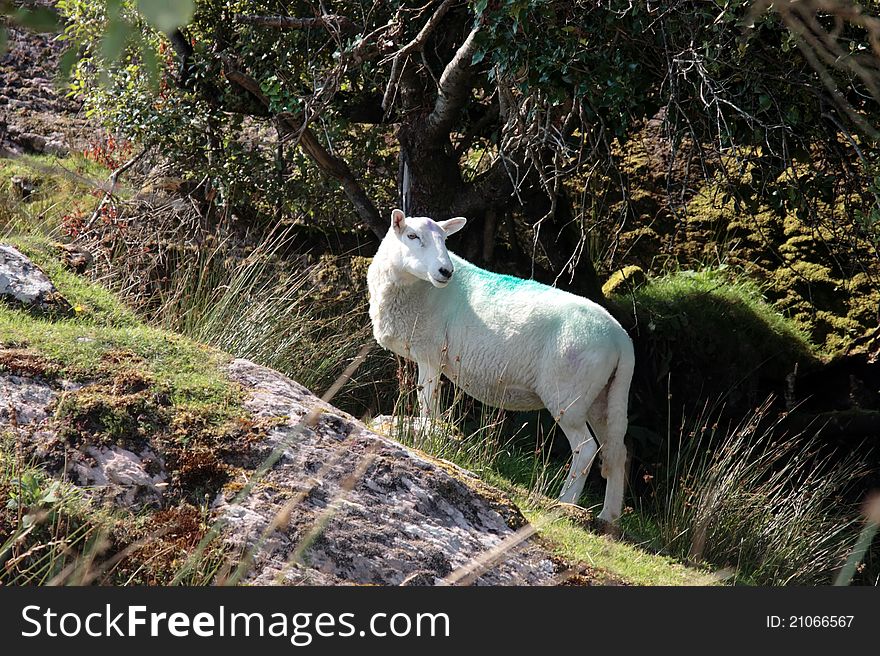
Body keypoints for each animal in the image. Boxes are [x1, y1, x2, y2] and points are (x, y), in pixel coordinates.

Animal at [368, 210, 636, 524]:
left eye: (445, 240)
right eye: (412, 236)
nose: (446, 271)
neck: (415, 289)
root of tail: (621, 340)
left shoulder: (430, 353)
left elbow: (428, 404)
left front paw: (426, 437)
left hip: (568, 393)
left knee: (586, 449)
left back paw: (565, 503)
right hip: (603, 396)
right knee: (617, 452)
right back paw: (609, 516)